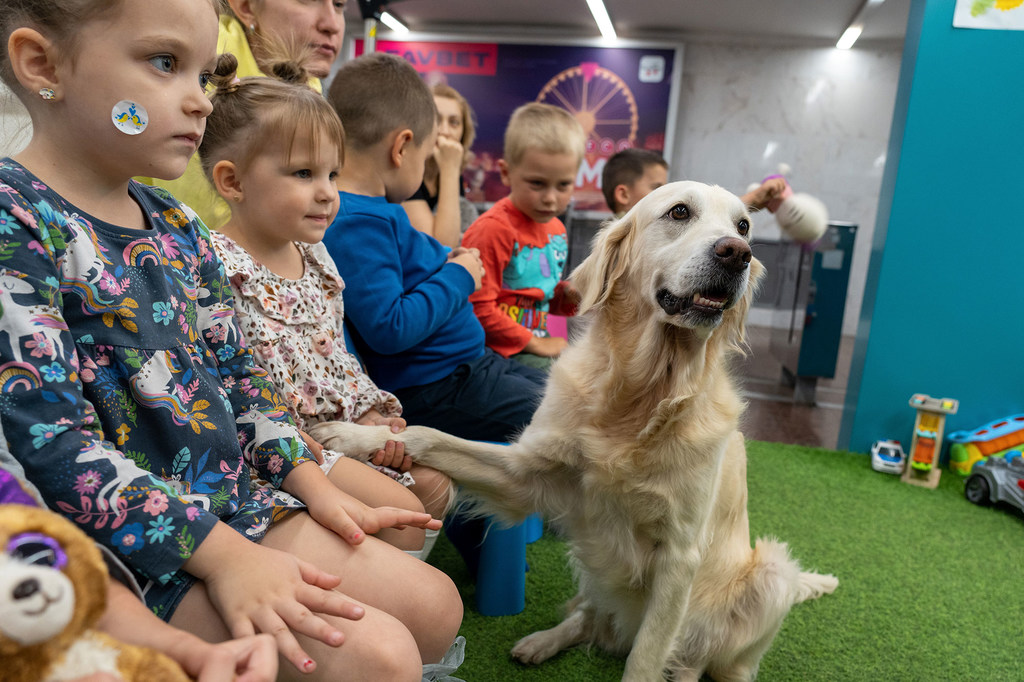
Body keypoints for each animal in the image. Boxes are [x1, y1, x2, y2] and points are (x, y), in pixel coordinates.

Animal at [309, 182, 831, 679]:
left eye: (744, 226)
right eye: (680, 211)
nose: (737, 253)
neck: (641, 395)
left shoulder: (681, 555)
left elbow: (646, 658)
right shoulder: (525, 474)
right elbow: (426, 434)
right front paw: (355, 437)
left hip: (770, 576)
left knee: (707, 662)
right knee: (592, 617)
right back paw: (543, 641)